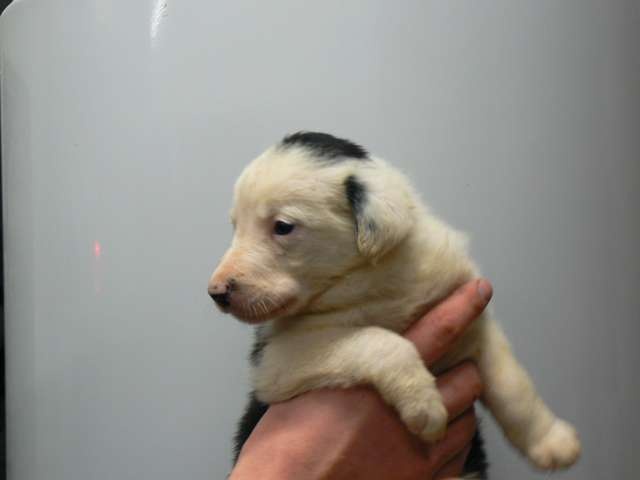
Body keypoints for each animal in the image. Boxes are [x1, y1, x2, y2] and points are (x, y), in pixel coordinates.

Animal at [209, 132, 581, 478]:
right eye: (236, 226)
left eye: (283, 227)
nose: (215, 292)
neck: (369, 282)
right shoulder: (276, 362)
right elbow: (381, 341)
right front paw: (424, 405)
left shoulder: (474, 322)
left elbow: (513, 387)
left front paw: (552, 441)